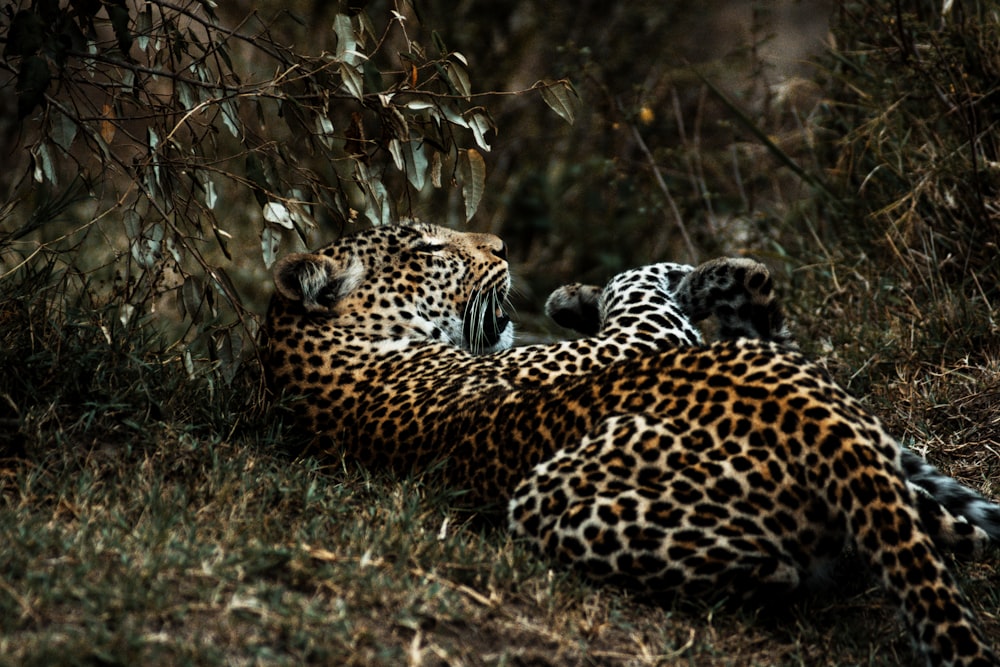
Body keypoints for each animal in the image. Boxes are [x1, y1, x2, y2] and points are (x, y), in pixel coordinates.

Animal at [262, 224, 996, 667]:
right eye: (430, 251)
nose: (501, 245)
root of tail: (819, 423)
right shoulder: (628, 343)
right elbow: (640, 284)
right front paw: (619, 285)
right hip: (554, 495)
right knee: (791, 565)